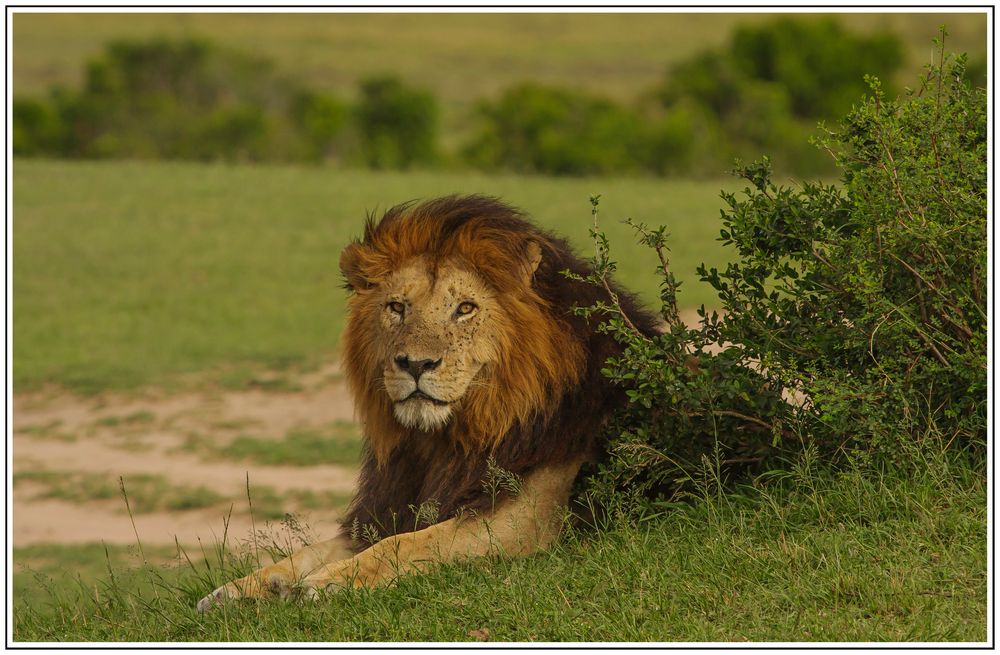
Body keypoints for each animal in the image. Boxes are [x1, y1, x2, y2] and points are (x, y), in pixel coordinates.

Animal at [198, 196, 660, 616]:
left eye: (465, 309)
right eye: (397, 307)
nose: (416, 364)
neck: (445, 440)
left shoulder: (529, 518)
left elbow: (411, 542)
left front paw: (332, 581)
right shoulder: (387, 507)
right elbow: (310, 551)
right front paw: (242, 589)